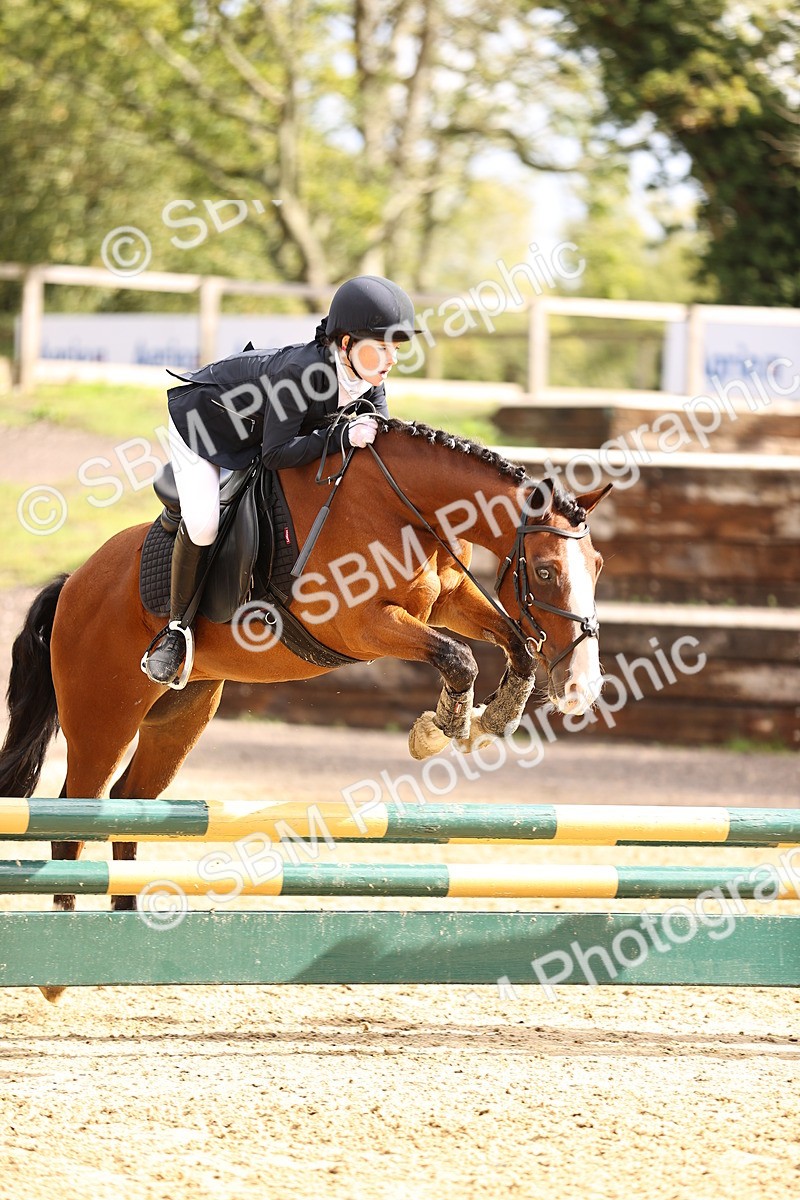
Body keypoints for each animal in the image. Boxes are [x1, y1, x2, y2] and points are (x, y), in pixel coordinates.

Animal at [1, 419, 610, 998]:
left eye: (599, 565)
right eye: (547, 570)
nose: (582, 686)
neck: (405, 506)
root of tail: (73, 583)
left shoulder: (450, 601)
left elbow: (513, 644)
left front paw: (493, 718)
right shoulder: (365, 625)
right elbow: (459, 658)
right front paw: (439, 730)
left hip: (180, 717)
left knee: (130, 805)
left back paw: (123, 933)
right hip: (103, 719)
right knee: (73, 815)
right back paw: (62, 967)